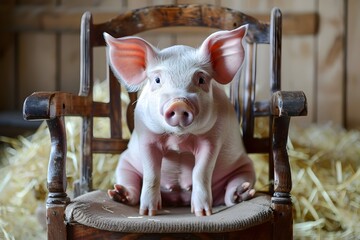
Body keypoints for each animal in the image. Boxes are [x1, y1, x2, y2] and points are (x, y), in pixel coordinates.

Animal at [104, 24, 256, 218]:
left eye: (201, 79)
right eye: (157, 80)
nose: (178, 103)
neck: (178, 140)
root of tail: (177, 200)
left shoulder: (213, 139)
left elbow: (201, 172)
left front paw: (202, 213)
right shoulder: (146, 136)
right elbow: (152, 173)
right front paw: (148, 213)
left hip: (245, 165)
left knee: (232, 193)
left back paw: (242, 192)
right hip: (125, 163)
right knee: (130, 187)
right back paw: (118, 193)